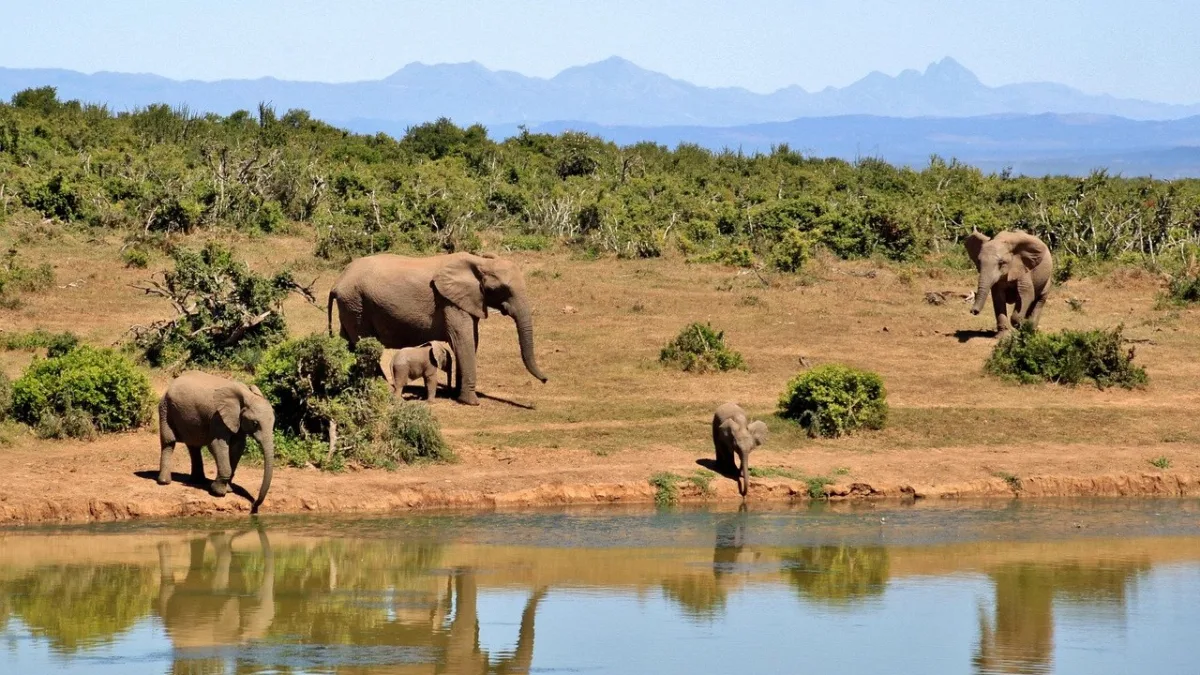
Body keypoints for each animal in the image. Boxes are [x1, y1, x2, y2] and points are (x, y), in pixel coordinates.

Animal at [157, 371, 275, 513]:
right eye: (255, 423)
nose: (254, 506)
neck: (246, 395)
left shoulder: (236, 420)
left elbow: (238, 447)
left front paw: (228, 490)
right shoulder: (218, 417)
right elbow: (217, 445)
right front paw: (218, 492)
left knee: (193, 446)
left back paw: (198, 481)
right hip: (165, 408)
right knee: (169, 442)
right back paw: (164, 482)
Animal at [327, 252, 548, 406]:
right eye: (502, 289)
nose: (546, 380)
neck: (479, 262)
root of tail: (337, 282)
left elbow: (471, 341)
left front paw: (458, 395)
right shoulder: (450, 302)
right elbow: (463, 341)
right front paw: (471, 402)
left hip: (350, 306)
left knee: (349, 342)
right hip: (356, 303)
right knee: (364, 344)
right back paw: (382, 388)